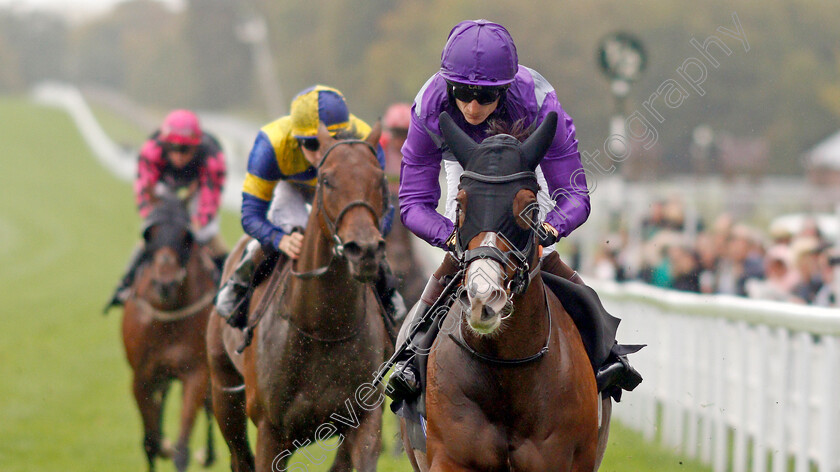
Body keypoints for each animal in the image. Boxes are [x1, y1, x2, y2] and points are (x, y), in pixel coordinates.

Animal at [123, 199, 220, 472]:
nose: (164, 284)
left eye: (186, 236)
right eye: (149, 235)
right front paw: (161, 445)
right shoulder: (141, 376)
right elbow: (150, 443)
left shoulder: (196, 372)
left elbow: (182, 449)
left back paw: (208, 454)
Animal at [210, 123, 394, 470]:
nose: (364, 250)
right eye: (327, 179)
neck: (324, 327)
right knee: (239, 454)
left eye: (380, 179)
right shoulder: (271, 431)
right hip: (225, 393)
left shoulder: (365, 420)